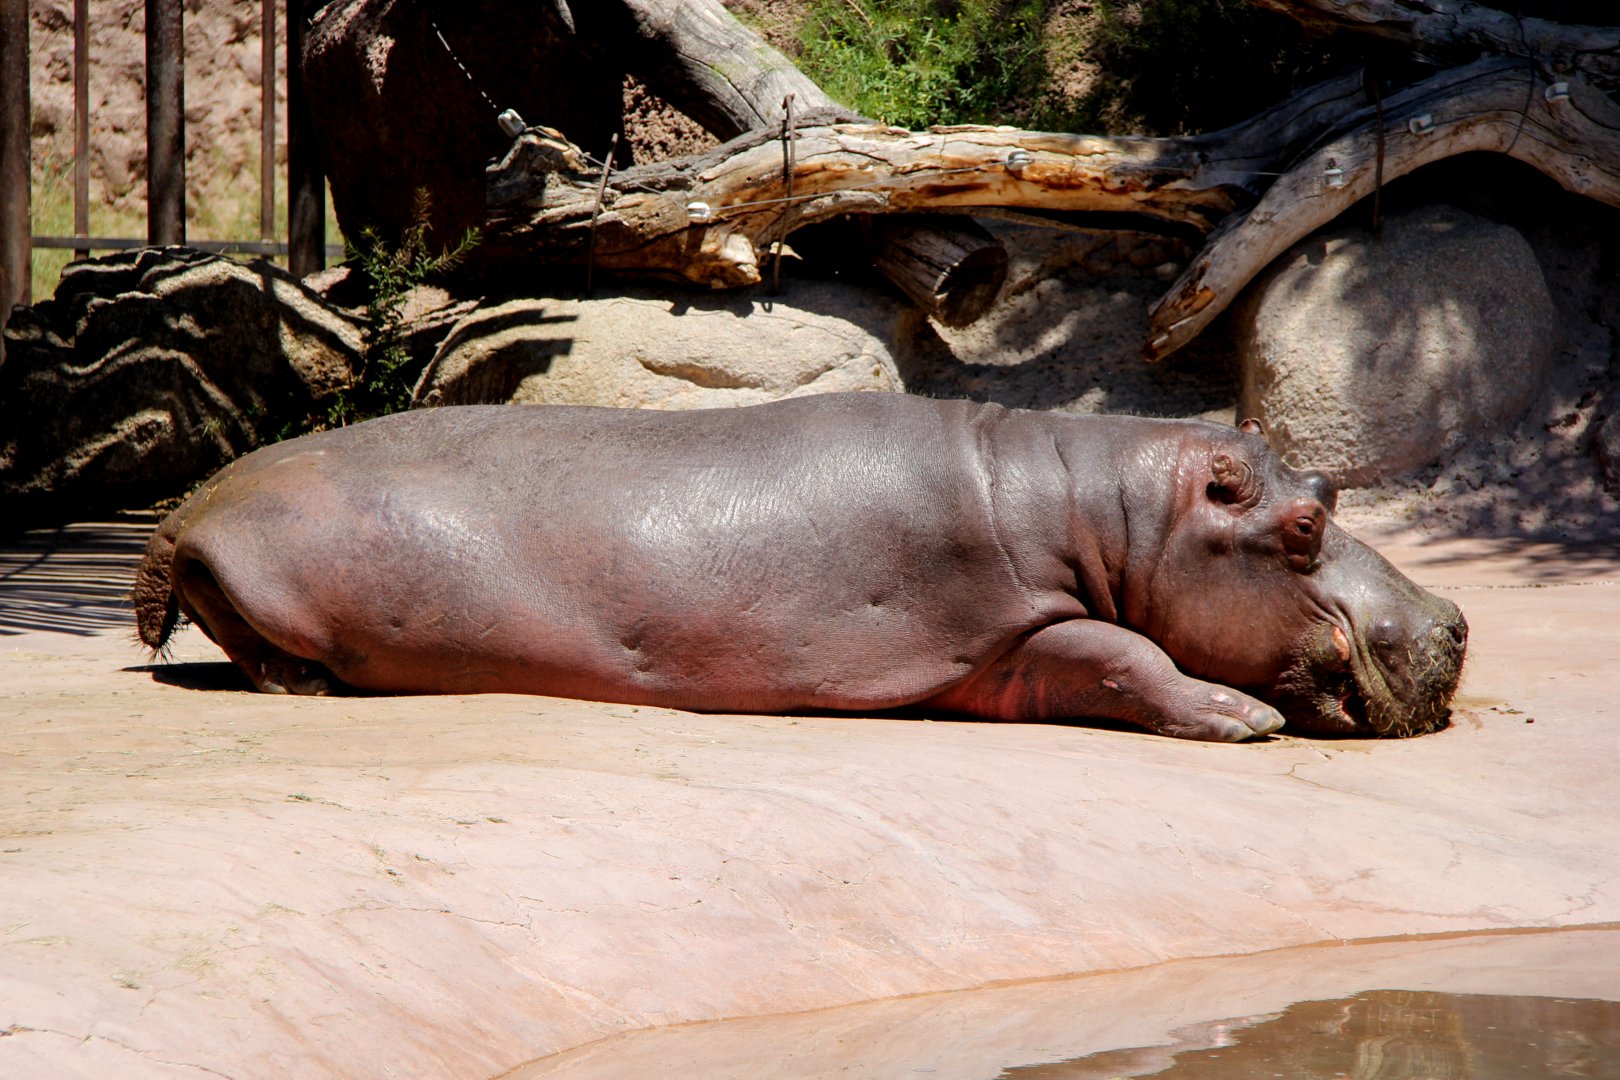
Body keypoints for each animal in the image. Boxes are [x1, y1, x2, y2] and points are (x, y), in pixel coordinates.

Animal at [133, 393, 1466, 741]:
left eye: (1331, 484)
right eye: (1304, 528)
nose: (1456, 619)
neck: (1107, 510)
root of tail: (190, 504)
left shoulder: (997, 664)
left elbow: (1101, 654)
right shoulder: (1008, 621)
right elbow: (1126, 649)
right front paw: (1243, 717)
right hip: (249, 573)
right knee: (241, 635)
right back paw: (302, 686)